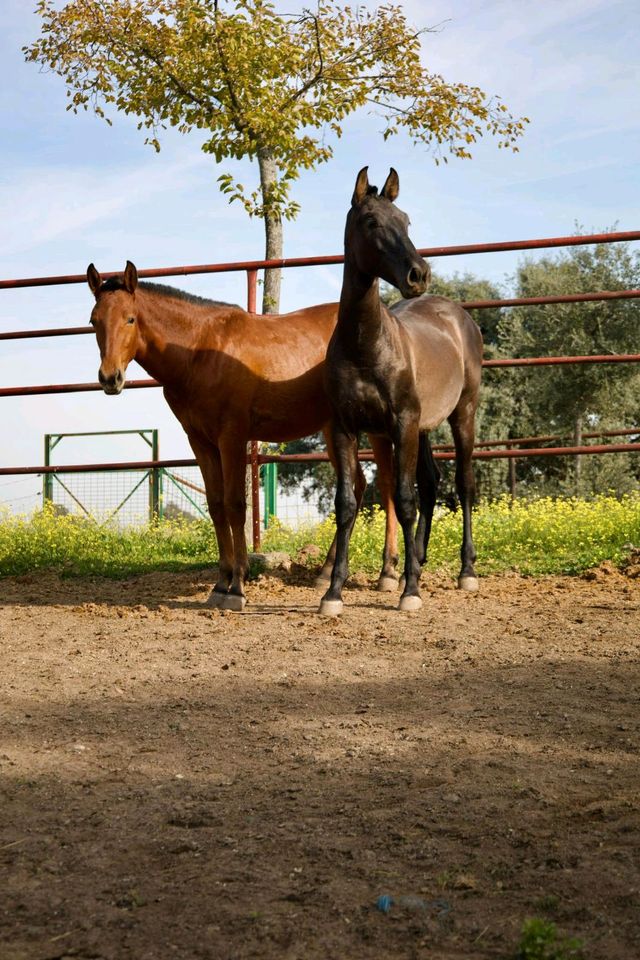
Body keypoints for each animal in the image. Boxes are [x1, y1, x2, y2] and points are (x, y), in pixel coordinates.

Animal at [86, 262, 400, 608]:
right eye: (94, 320)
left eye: (130, 318)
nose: (110, 378)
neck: (200, 352)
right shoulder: (201, 442)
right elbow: (215, 506)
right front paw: (220, 583)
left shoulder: (232, 438)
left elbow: (235, 505)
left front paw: (236, 587)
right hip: (334, 427)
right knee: (358, 485)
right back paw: (326, 572)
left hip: (375, 427)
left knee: (387, 486)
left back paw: (387, 573)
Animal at [320, 165, 480, 616]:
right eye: (372, 222)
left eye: (406, 221)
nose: (418, 274)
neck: (366, 345)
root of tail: (458, 314)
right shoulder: (346, 428)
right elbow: (347, 504)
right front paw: (333, 592)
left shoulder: (402, 423)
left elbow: (404, 501)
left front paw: (409, 591)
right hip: (422, 428)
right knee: (432, 481)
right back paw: (420, 562)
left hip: (463, 414)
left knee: (463, 483)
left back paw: (466, 571)